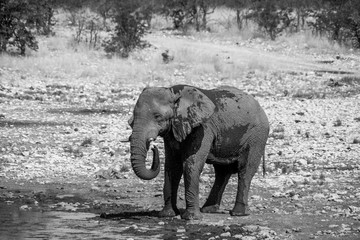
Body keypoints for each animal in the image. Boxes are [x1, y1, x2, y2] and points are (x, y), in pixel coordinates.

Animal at [128, 84, 268, 219]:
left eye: (157, 116)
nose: (153, 147)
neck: (173, 91)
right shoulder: (173, 130)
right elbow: (173, 166)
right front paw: (167, 215)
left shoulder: (203, 128)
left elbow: (191, 164)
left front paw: (191, 218)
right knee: (222, 172)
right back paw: (208, 210)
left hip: (257, 136)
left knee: (245, 170)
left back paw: (238, 213)